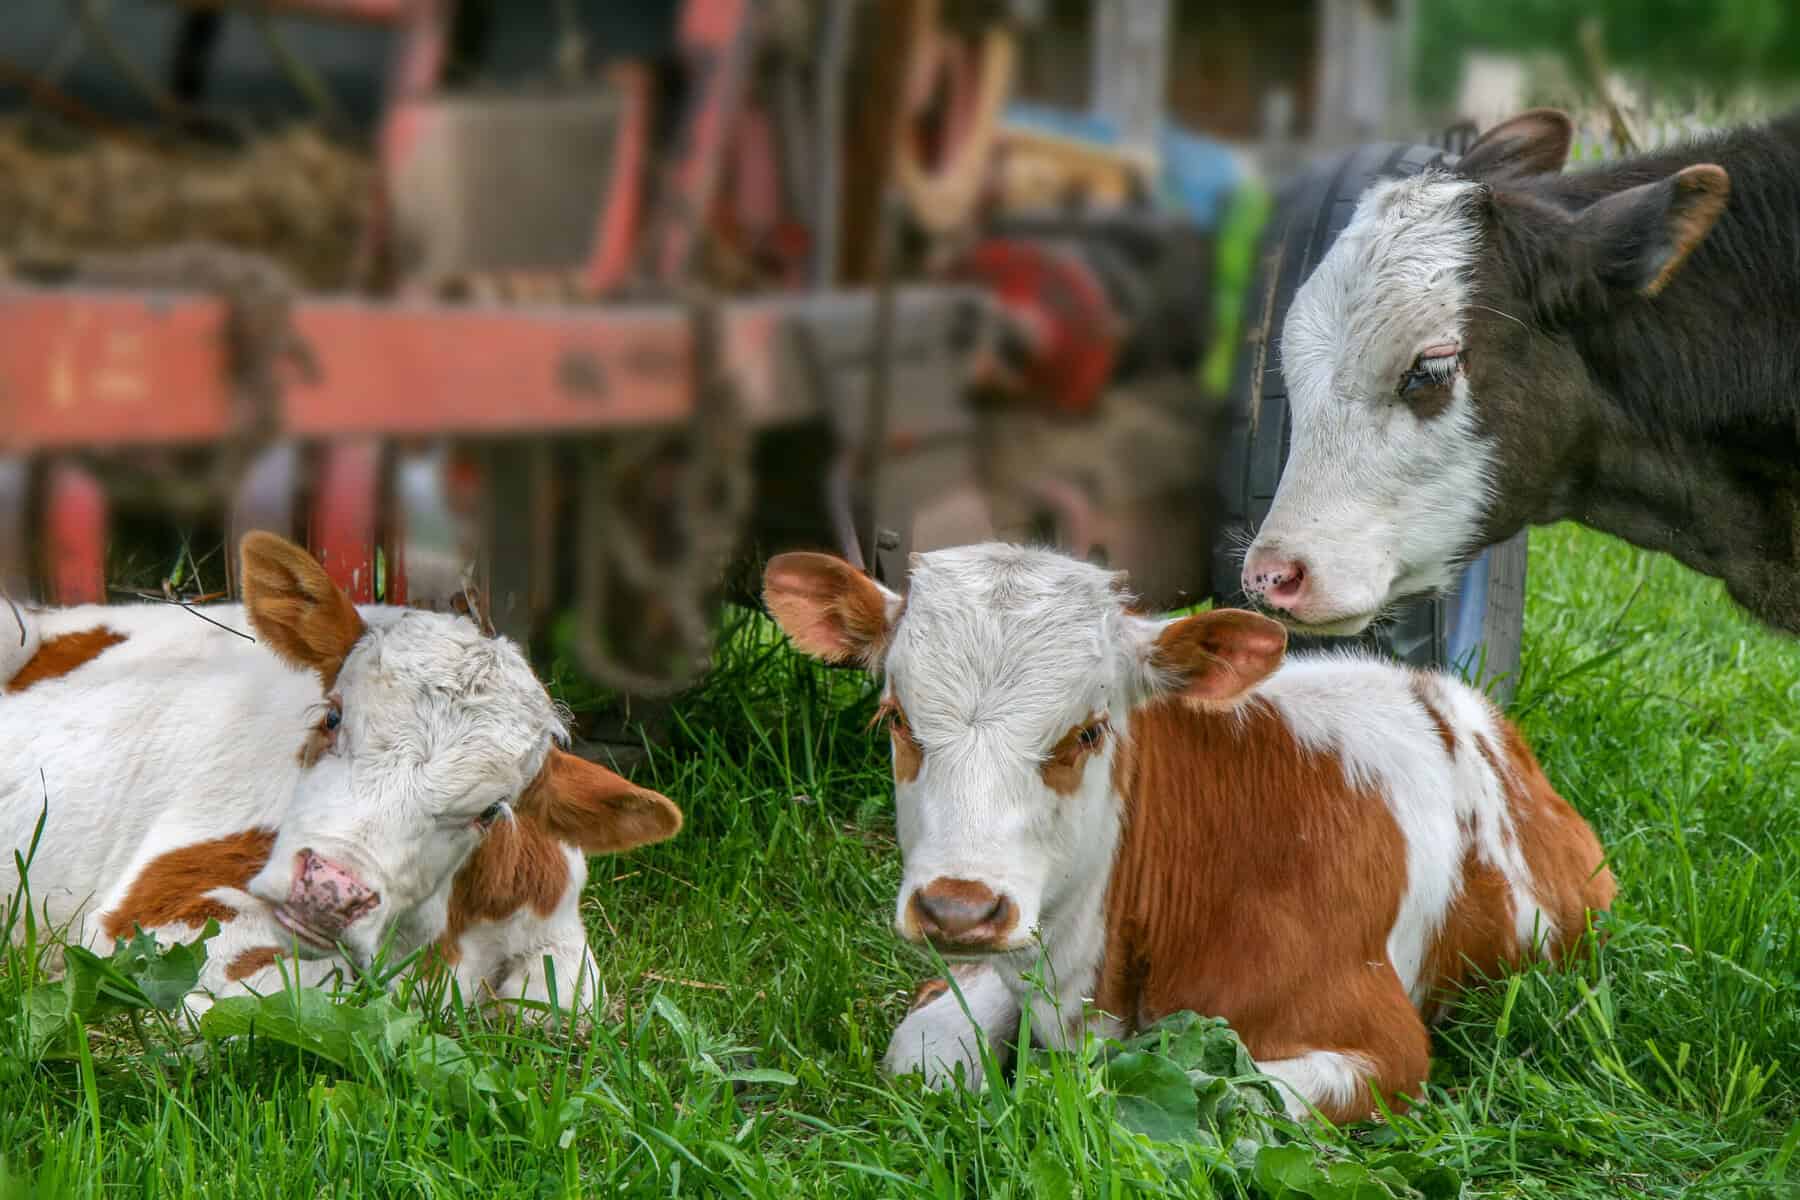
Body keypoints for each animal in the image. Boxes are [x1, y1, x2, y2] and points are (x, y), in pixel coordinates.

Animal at [1, 531, 683, 1020]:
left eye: (490, 811)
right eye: (332, 716)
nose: (328, 888)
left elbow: (563, 1003)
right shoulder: (155, 908)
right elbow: (294, 990)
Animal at [762, 543, 1614, 1123]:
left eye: (1089, 731)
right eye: (896, 718)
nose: (957, 908)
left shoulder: (1379, 1047)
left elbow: (1219, 1093)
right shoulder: (1005, 958)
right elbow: (922, 1057)